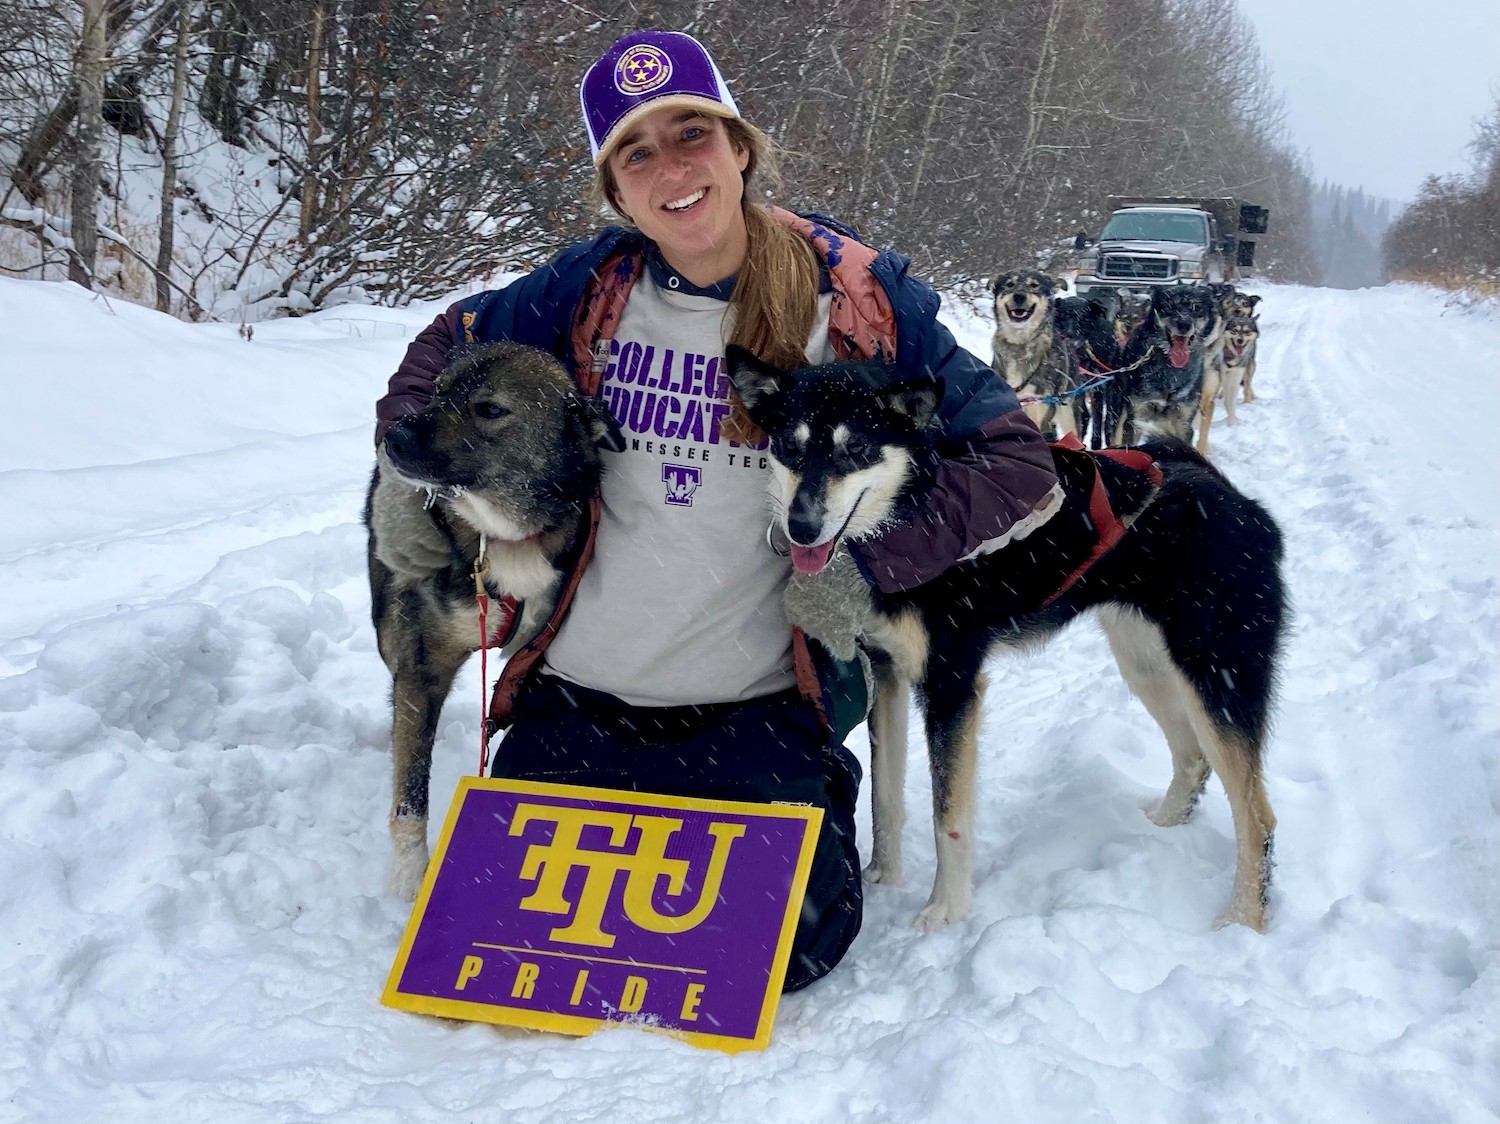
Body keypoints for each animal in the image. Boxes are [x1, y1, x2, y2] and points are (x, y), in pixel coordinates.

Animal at [367, 342, 621, 894]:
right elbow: (410, 792)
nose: (394, 438)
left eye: (489, 408)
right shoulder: (424, 667)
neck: (501, 536)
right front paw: (410, 879)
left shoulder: (532, 649)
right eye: (438, 390)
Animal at [726, 346, 1290, 936]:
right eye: (790, 447)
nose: (801, 527)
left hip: (1216, 675)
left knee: (1257, 816)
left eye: (855, 449)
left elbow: (947, 814)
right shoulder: (888, 673)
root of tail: (1234, 497)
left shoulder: (952, 686)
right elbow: (885, 797)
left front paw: (945, 911)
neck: (911, 517)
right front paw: (883, 877)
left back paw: (1243, 921)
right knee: (1193, 758)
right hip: (1146, 663)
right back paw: (1162, 824)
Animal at [990, 270, 1086, 441]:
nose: (1019, 296)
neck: (1019, 345)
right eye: (1010, 284)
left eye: (1034, 285)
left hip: (1069, 416)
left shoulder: (1041, 413)